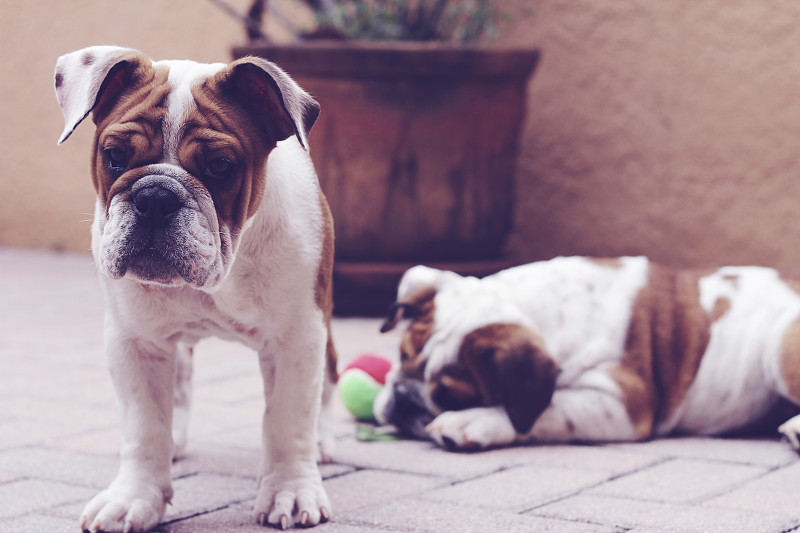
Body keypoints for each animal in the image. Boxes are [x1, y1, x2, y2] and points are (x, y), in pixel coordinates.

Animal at [53, 46, 334, 532]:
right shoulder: (136, 342)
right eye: (114, 156)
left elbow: (288, 418)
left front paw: (291, 490)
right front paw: (135, 498)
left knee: (328, 380)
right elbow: (145, 425)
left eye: (220, 167)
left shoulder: (297, 337)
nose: (155, 197)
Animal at [378, 256, 800, 448]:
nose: (402, 397)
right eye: (401, 355)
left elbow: (548, 409)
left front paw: (470, 422)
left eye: (453, 397)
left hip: (778, 346)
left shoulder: (620, 404)